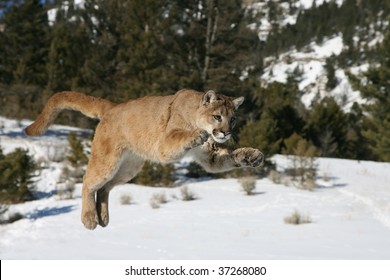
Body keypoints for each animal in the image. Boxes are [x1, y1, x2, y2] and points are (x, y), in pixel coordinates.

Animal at [25, 88, 264, 229]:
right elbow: (183, 137)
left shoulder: (210, 157)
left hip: (130, 166)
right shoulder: (164, 146)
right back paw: (90, 218)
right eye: (217, 116)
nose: (226, 133)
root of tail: (114, 106)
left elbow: (227, 157)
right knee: (88, 181)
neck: (196, 115)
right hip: (108, 161)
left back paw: (103, 217)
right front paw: (197, 134)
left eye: (233, 119)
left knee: (105, 187)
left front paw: (251, 156)